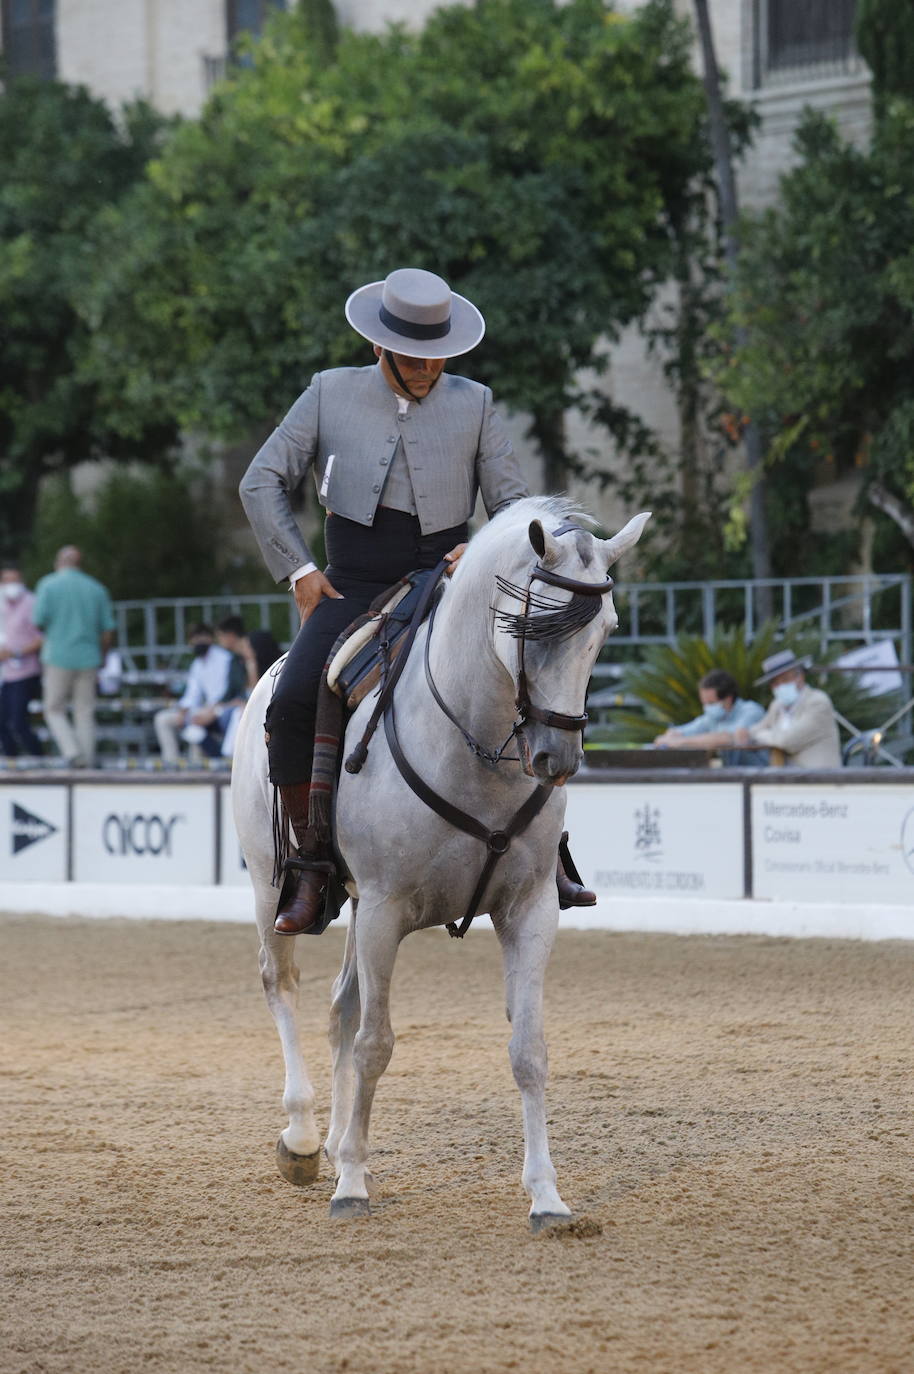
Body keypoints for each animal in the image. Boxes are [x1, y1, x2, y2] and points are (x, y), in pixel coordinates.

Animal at [235, 500, 648, 1231]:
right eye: (528, 628)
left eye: (605, 632)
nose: (557, 758)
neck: (474, 746)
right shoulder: (385, 910)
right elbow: (375, 1045)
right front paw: (352, 1186)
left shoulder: (529, 910)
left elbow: (528, 1052)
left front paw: (547, 1196)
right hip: (269, 885)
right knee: (281, 985)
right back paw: (307, 1141)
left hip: (353, 903)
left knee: (339, 1006)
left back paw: (336, 1141)